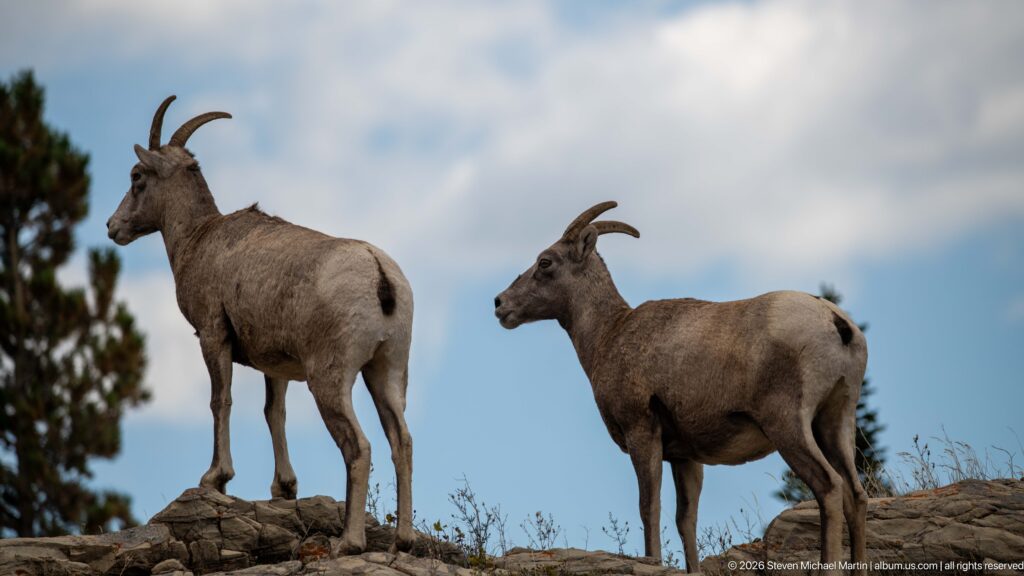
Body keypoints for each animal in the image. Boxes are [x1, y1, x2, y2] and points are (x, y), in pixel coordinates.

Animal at [106, 96, 415, 555]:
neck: (197, 239)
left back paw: (348, 543)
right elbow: (275, 413)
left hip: (330, 379)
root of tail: (379, 273)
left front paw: (216, 478)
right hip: (386, 373)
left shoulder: (213, 335)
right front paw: (283, 488)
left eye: (137, 176)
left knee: (358, 447)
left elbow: (221, 401)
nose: (113, 227)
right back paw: (404, 541)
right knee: (402, 442)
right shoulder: (276, 364)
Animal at [494, 202, 869, 575]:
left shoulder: (642, 432)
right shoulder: (685, 457)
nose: (500, 304)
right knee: (855, 493)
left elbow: (649, 507)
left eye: (545, 262)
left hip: (788, 426)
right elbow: (685, 519)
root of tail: (836, 323)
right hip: (836, 420)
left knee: (829, 486)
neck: (608, 335)